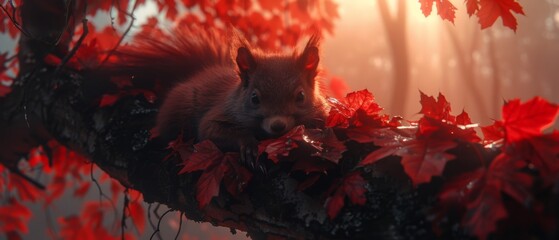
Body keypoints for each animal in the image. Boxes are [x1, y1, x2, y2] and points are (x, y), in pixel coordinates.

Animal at [105, 27, 328, 163]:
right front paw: (248, 145)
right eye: (254, 98)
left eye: (301, 96)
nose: (278, 126)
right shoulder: (218, 114)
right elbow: (210, 129)